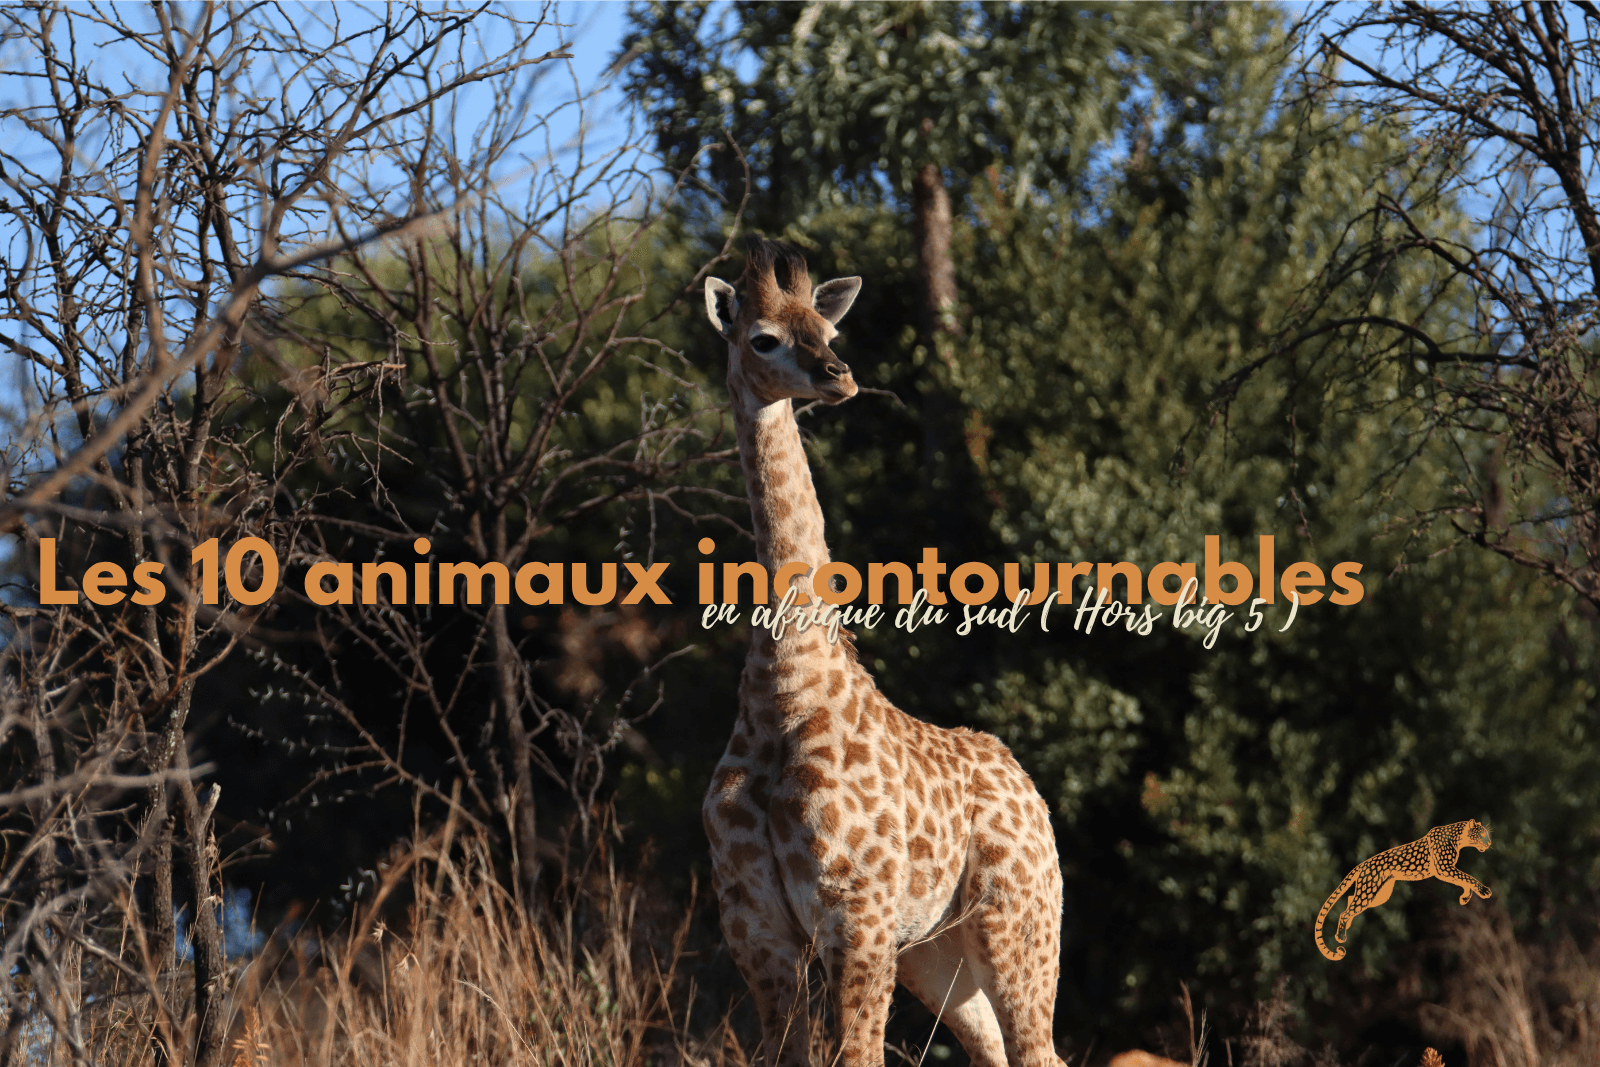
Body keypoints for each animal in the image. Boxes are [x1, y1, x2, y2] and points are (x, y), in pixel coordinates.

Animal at [702, 237, 1068, 1067]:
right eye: (763, 338)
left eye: (828, 330)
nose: (839, 376)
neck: (785, 686)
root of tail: (1031, 790)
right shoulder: (755, 927)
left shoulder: (854, 911)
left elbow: (857, 1055)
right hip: (935, 953)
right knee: (996, 1048)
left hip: (1018, 923)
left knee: (1040, 1049)